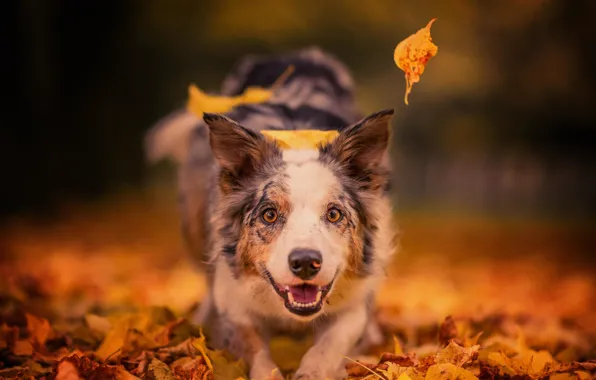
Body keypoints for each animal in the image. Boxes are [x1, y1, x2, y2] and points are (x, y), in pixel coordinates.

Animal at [144, 48, 396, 380]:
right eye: (269, 215)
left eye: (333, 214)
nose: (306, 263)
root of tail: (291, 55)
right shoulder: (236, 303)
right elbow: (255, 353)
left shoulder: (352, 303)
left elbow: (329, 346)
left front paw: (313, 370)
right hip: (193, 224)